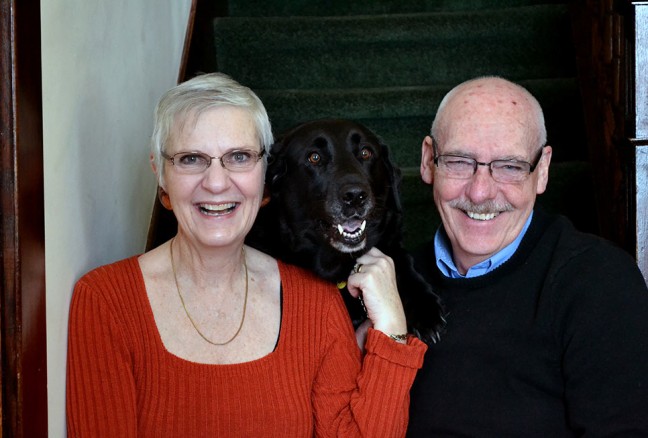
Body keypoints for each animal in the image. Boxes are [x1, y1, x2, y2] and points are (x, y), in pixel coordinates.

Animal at [246, 118, 442, 344]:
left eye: (366, 152)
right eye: (314, 157)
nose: (355, 196)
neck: (337, 265)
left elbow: (403, 259)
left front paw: (424, 308)